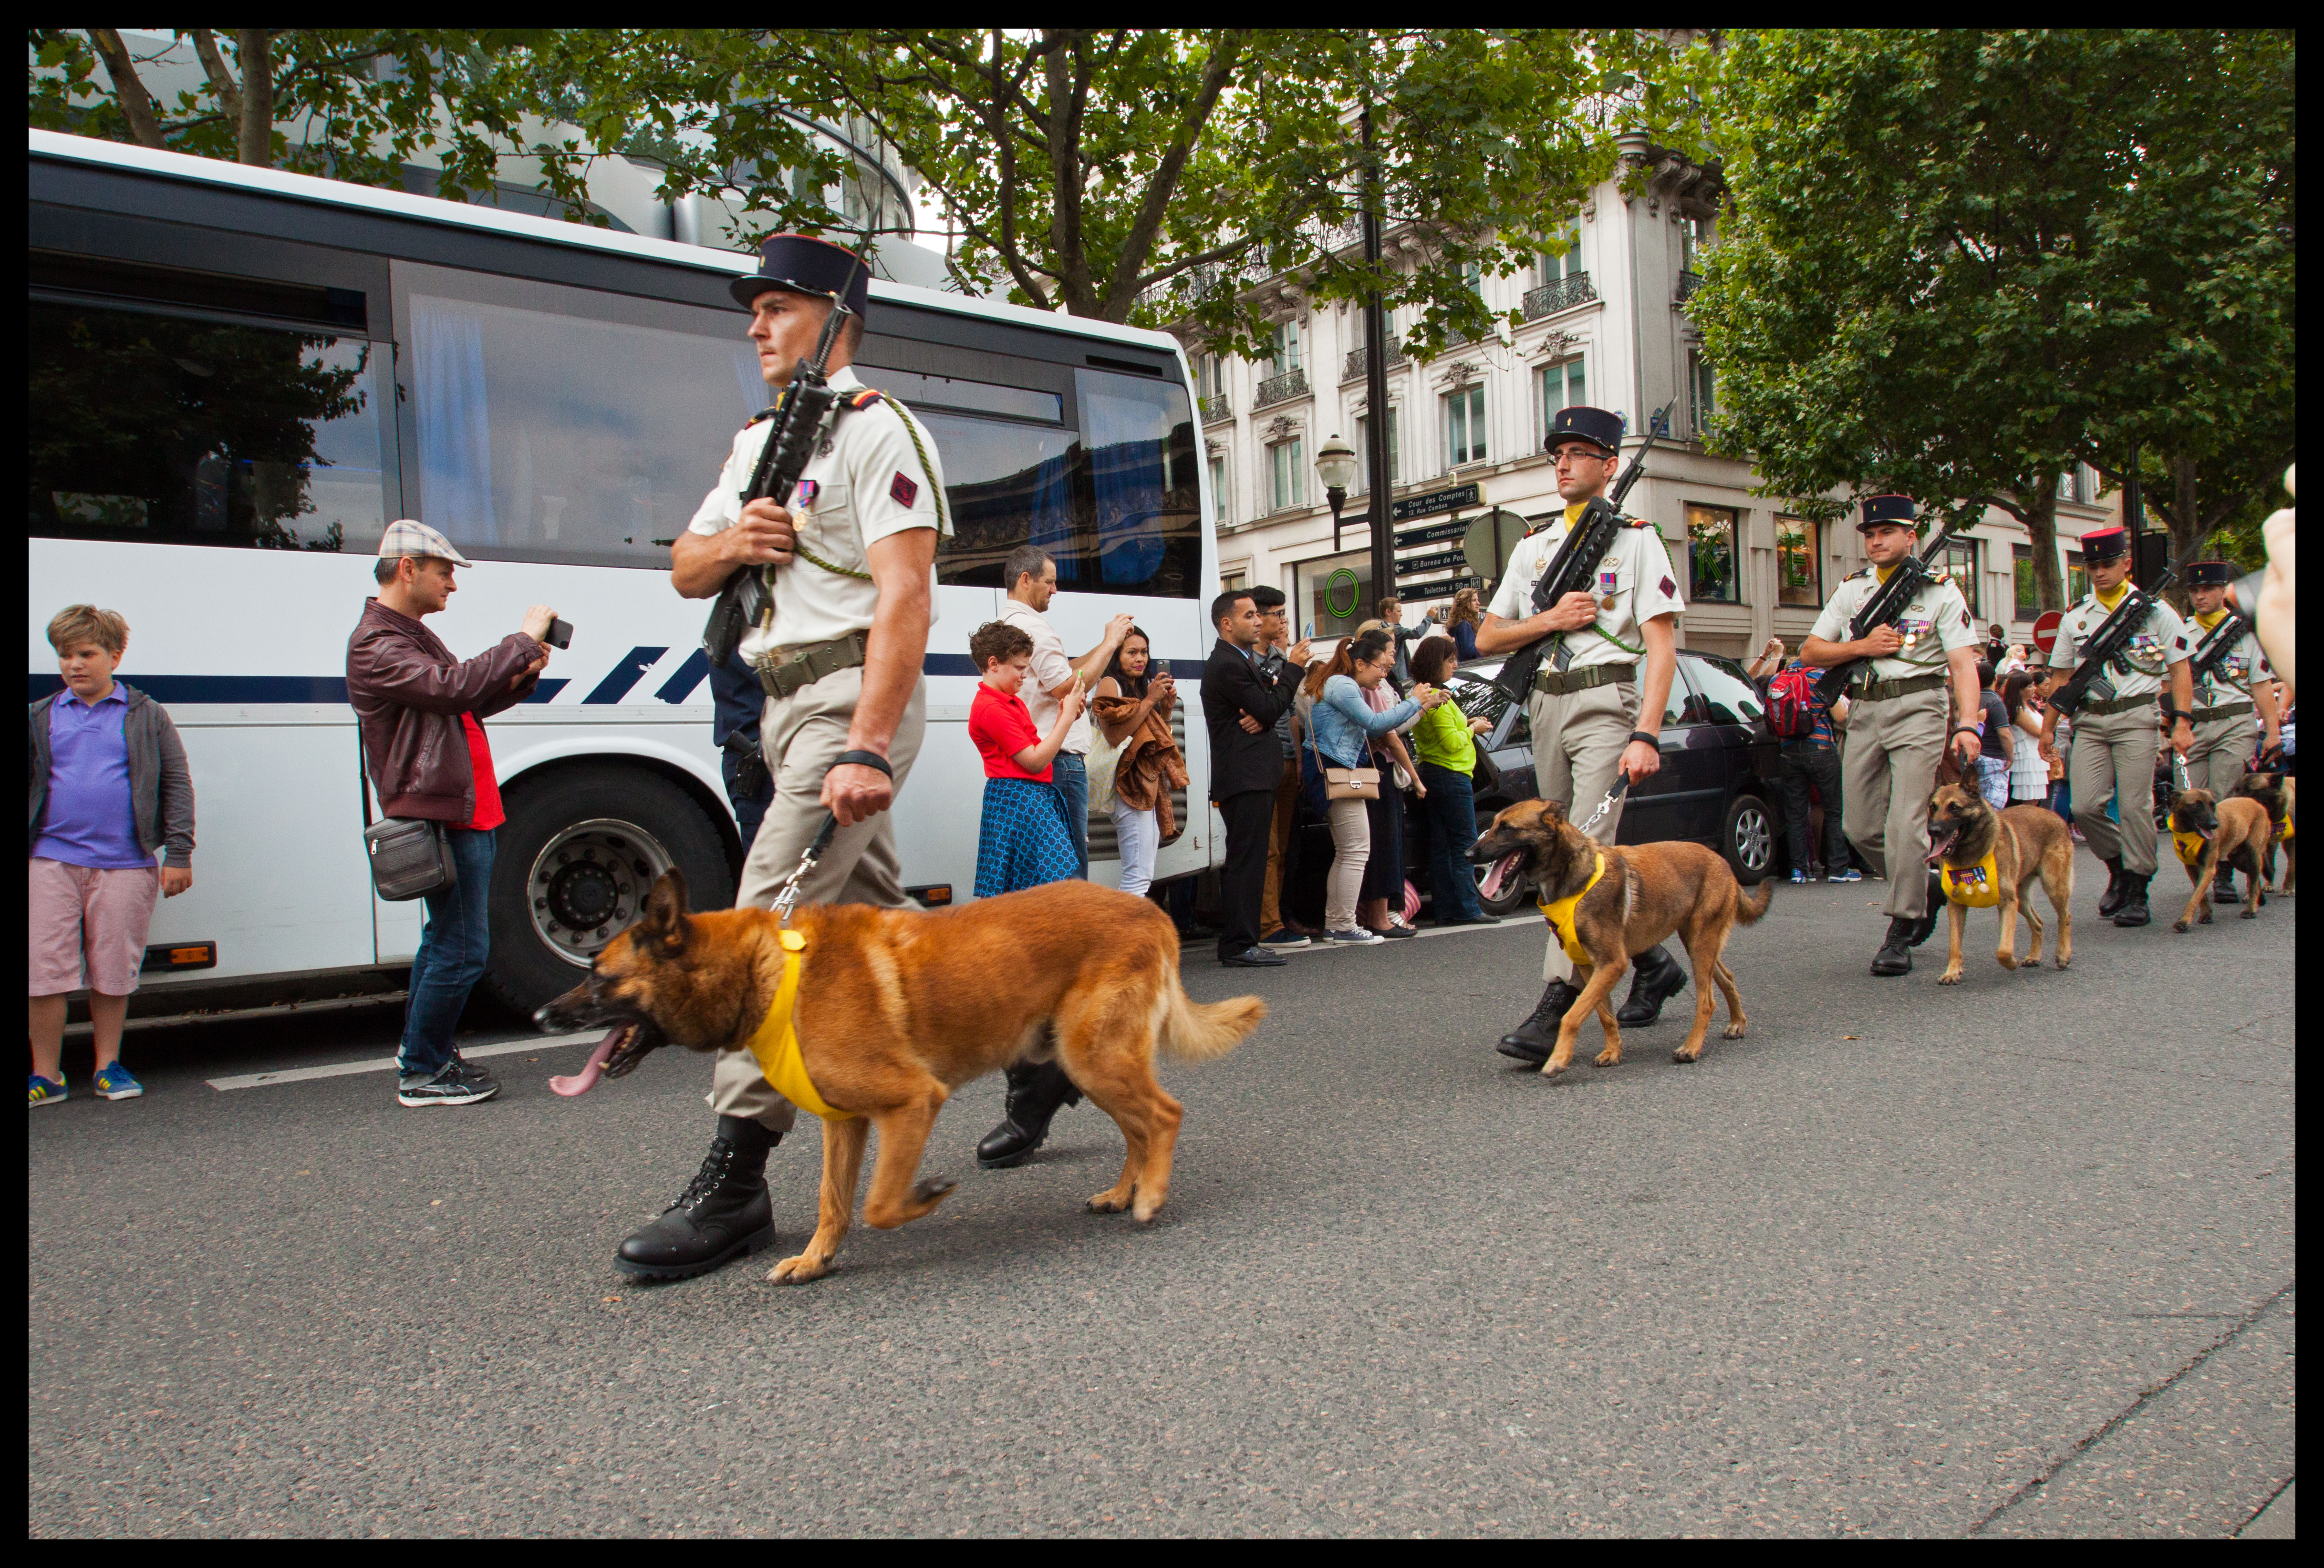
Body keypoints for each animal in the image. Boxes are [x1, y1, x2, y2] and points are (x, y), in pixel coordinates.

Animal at [535, 872, 1265, 1284]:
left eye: (599, 976)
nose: (543, 1015)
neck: (767, 968)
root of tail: (1154, 910)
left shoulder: (913, 1103)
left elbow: (880, 1205)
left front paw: (925, 1195)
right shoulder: (845, 1125)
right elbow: (834, 1202)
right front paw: (816, 1261)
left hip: (1096, 1059)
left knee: (1164, 1116)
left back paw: (1149, 1197)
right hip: (1091, 1062)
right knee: (1139, 1129)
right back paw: (1122, 1192)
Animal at [1469, 798, 1772, 1076]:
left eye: (1507, 828)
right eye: (1493, 825)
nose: (1468, 854)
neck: (1571, 873)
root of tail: (1723, 862)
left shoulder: (1612, 964)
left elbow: (1573, 1016)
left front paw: (1559, 1059)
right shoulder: (1591, 966)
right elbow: (1604, 1014)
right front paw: (1613, 1052)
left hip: (1701, 944)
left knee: (1707, 1002)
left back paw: (1691, 1047)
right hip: (1698, 944)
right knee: (1726, 977)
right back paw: (1737, 1023)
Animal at [1923, 782, 2075, 983]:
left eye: (1954, 807)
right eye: (1933, 807)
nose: (1933, 830)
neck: (1971, 856)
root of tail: (2056, 816)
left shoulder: (2008, 904)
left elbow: (2004, 950)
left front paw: (2011, 963)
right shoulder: (1956, 906)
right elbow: (1954, 945)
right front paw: (1952, 972)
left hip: (2053, 887)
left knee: (2065, 917)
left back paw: (2063, 955)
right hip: (2022, 901)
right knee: (2038, 923)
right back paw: (2034, 956)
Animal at [2164, 786, 2275, 931]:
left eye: (2213, 806)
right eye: (2195, 806)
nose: (2215, 825)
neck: (2190, 834)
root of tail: (2256, 803)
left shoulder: (2208, 870)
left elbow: (2195, 898)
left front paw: (2184, 921)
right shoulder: (2191, 869)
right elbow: (2201, 895)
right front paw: (2206, 915)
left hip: (2253, 857)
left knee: (2254, 884)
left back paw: (2251, 910)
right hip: (2239, 861)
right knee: (2253, 880)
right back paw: (2259, 900)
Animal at [2230, 770, 2297, 895]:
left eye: (2250, 790)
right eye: (2237, 789)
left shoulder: (2292, 843)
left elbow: (2291, 868)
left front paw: (2288, 889)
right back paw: (2269, 884)